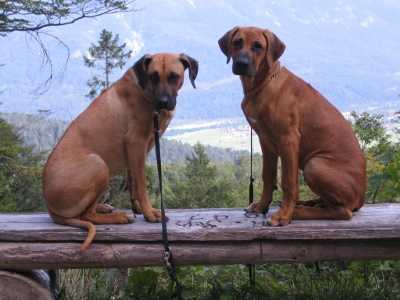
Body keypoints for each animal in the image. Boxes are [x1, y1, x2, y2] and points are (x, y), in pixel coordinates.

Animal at [42, 52, 198, 251]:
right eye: (153, 76)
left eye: (173, 76)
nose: (162, 102)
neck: (145, 90)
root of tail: (50, 206)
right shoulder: (136, 143)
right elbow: (141, 185)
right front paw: (150, 213)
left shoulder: (134, 151)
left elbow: (133, 182)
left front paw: (138, 208)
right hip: (98, 164)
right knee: (86, 215)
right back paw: (118, 217)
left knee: (87, 210)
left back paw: (103, 207)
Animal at [219, 27, 366, 226]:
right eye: (237, 42)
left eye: (258, 46)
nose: (242, 63)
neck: (263, 84)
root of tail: (361, 198)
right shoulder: (265, 141)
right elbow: (268, 176)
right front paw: (262, 206)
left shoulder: (288, 139)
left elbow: (288, 182)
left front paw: (283, 215)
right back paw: (309, 203)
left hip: (314, 165)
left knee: (343, 211)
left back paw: (298, 211)